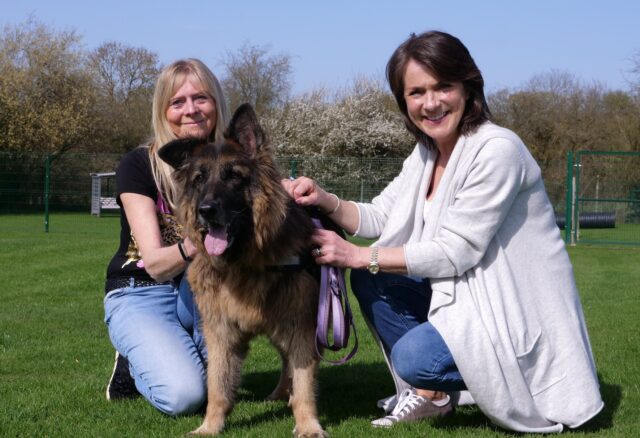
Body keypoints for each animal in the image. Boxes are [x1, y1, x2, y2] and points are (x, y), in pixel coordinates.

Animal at [159, 104, 328, 436]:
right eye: (199, 179)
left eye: (233, 177)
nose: (206, 210)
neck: (245, 261)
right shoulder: (220, 331)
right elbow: (217, 385)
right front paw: (210, 426)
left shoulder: (300, 325)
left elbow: (304, 381)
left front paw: (307, 423)